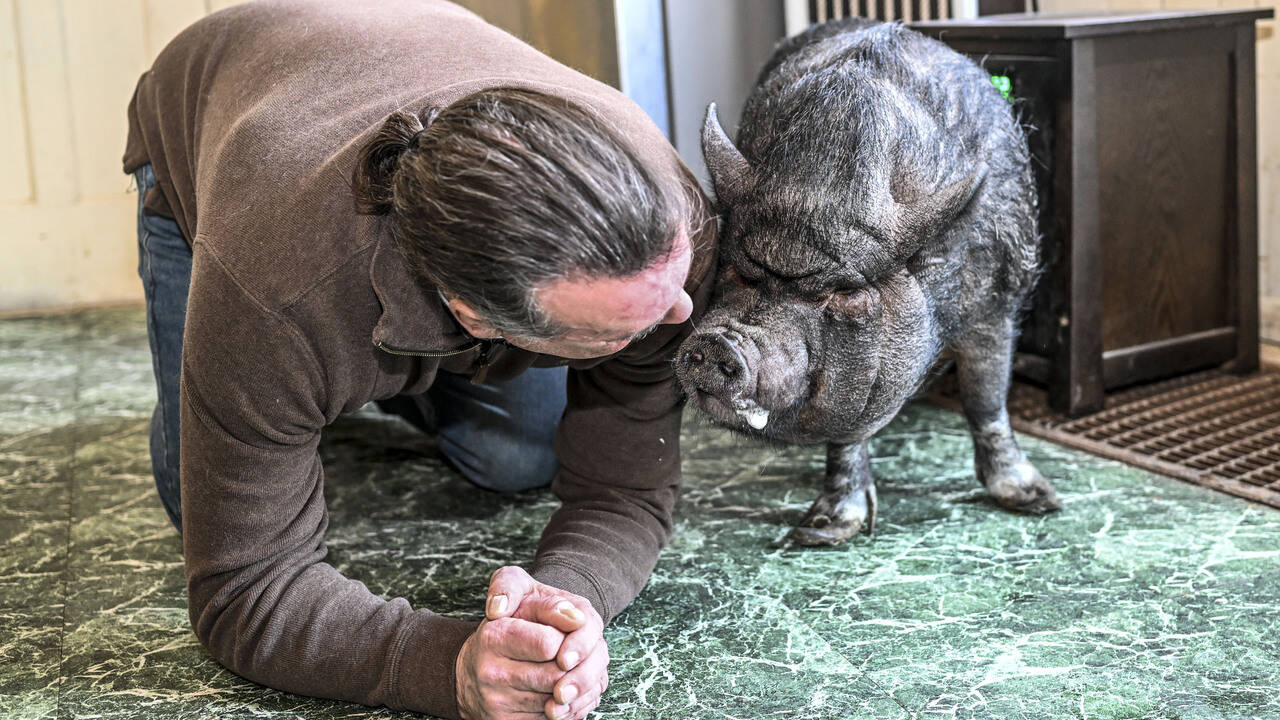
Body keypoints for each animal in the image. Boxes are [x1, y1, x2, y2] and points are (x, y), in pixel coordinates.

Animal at [680, 18, 1059, 543]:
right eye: (736, 267)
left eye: (845, 292)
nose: (719, 342)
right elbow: (845, 435)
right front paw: (821, 533)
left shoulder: (998, 304)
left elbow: (985, 397)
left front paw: (1038, 501)